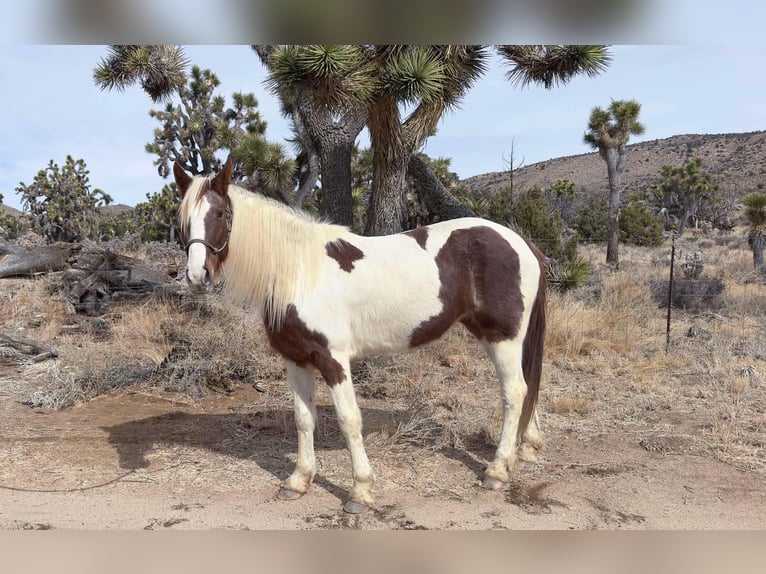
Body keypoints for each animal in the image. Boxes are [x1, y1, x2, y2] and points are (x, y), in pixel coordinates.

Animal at [176, 160, 544, 516]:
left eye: (219, 214)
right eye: (184, 220)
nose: (197, 277)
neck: (300, 272)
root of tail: (520, 242)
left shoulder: (333, 359)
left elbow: (349, 420)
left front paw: (361, 492)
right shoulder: (296, 359)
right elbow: (303, 419)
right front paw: (298, 481)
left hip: (504, 337)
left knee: (514, 392)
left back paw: (498, 470)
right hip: (495, 335)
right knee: (526, 389)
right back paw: (525, 452)